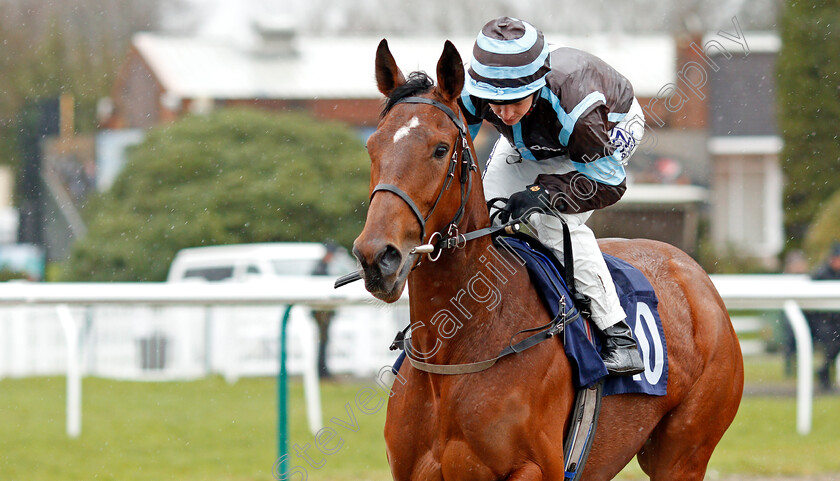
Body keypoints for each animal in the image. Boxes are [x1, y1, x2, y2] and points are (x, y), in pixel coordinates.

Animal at [352, 39, 744, 478]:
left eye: (440, 149)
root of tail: (696, 276)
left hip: (683, 452)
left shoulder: (536, 467)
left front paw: (527, 202)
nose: (377, 256)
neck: (455, 352)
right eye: (371, 145)